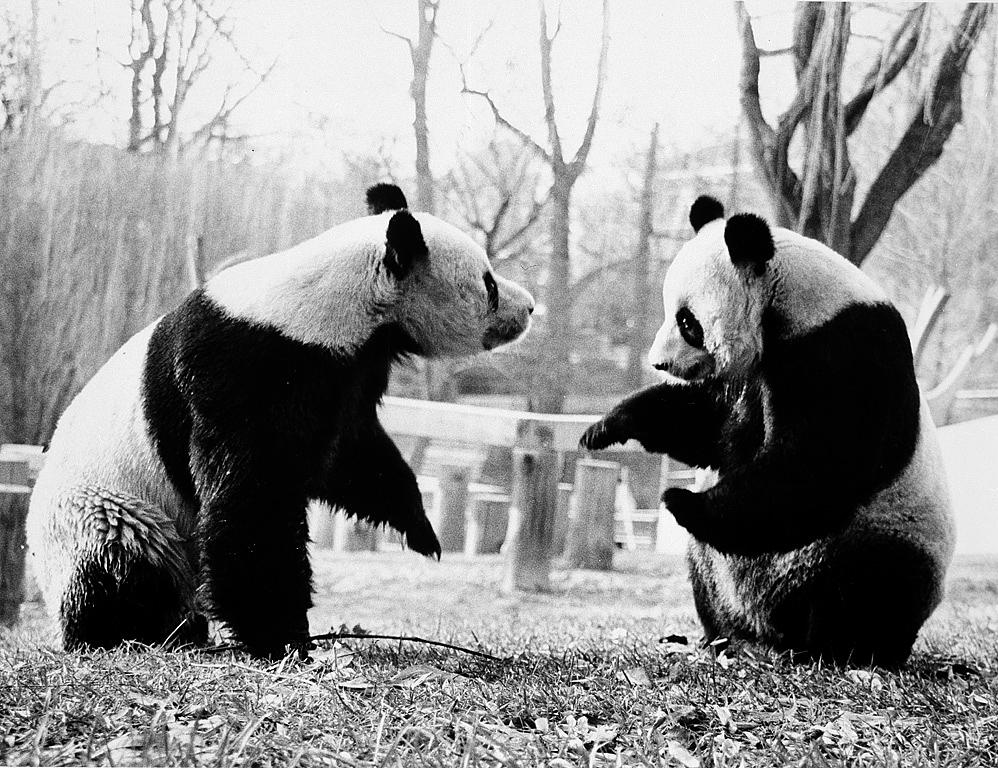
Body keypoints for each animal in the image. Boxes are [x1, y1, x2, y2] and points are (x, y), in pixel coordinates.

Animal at [27, 186, 536, 660]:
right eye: (489, 284)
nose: (530, 307)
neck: (335, 302)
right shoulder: (249, 368)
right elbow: (253, 498)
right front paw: (281, 638)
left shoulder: (343, 373)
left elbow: (352, 454)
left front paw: (420, 529)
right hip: (106, 506)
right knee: (121, 559)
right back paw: (134, 632)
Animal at [584, 196, 956, 664]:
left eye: (687, 322)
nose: (659, 363)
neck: (791, 300)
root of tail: (769, 626)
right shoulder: (757, 370)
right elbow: (713, 429)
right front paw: (609, 425)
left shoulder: (845, 351)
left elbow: (819, 464)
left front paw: (682, 501)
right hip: (718, 573)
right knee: (708, 574)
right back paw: (721, 636)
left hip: (886, 533)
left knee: (871, 586)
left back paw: (838, 648)